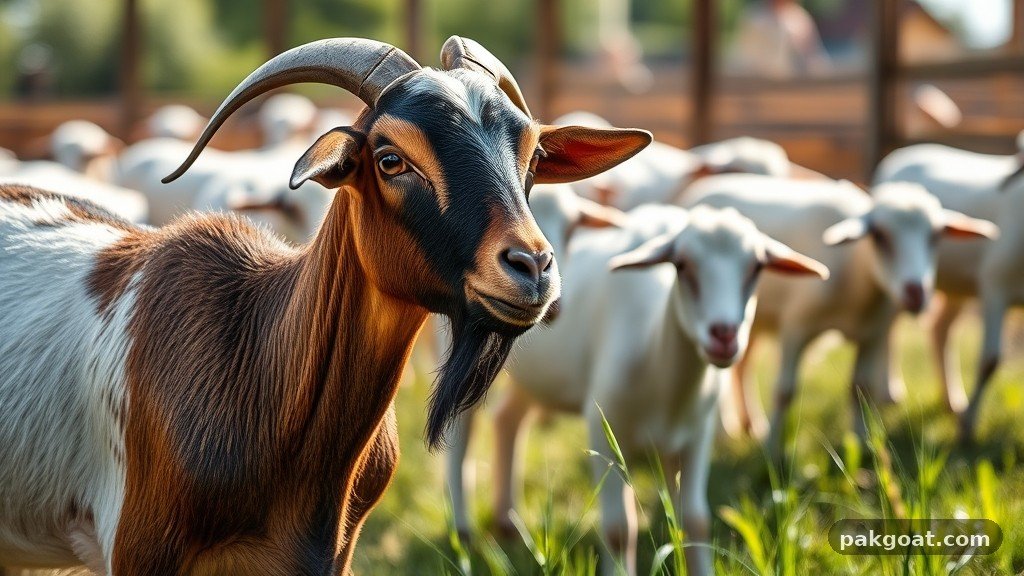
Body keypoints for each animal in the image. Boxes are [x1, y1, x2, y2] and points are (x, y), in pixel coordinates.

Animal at [447, 204, 828, 576]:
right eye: (683, 265)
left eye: (757, 266)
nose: (724, 335)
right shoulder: (605, 430)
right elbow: (619, 530)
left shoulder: (696, 436)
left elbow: (696, 521)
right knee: (460, 439)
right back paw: (463, 532)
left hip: (534, 377)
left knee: (507, 419)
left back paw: (508, 523)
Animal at [684, 175, 997, 449]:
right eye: (880, 235)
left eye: (935, 236)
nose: (916, 292)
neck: (856, 278)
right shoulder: (796, 327)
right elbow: (784, 390)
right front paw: (772, 450)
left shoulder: (873, 334)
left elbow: (861, 388)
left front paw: (861, 441)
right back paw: (728, 432)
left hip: (754, 319)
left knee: (742, 366)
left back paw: (752, 425)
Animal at [874, 138, 1023, 438]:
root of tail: (904, 152)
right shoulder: (995, 286)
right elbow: (989, 360)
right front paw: (967, 428)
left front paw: (964, 417)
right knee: (889, 327)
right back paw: (890, 391)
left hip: (957, 287)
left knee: (939, 329)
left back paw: (952, 402)